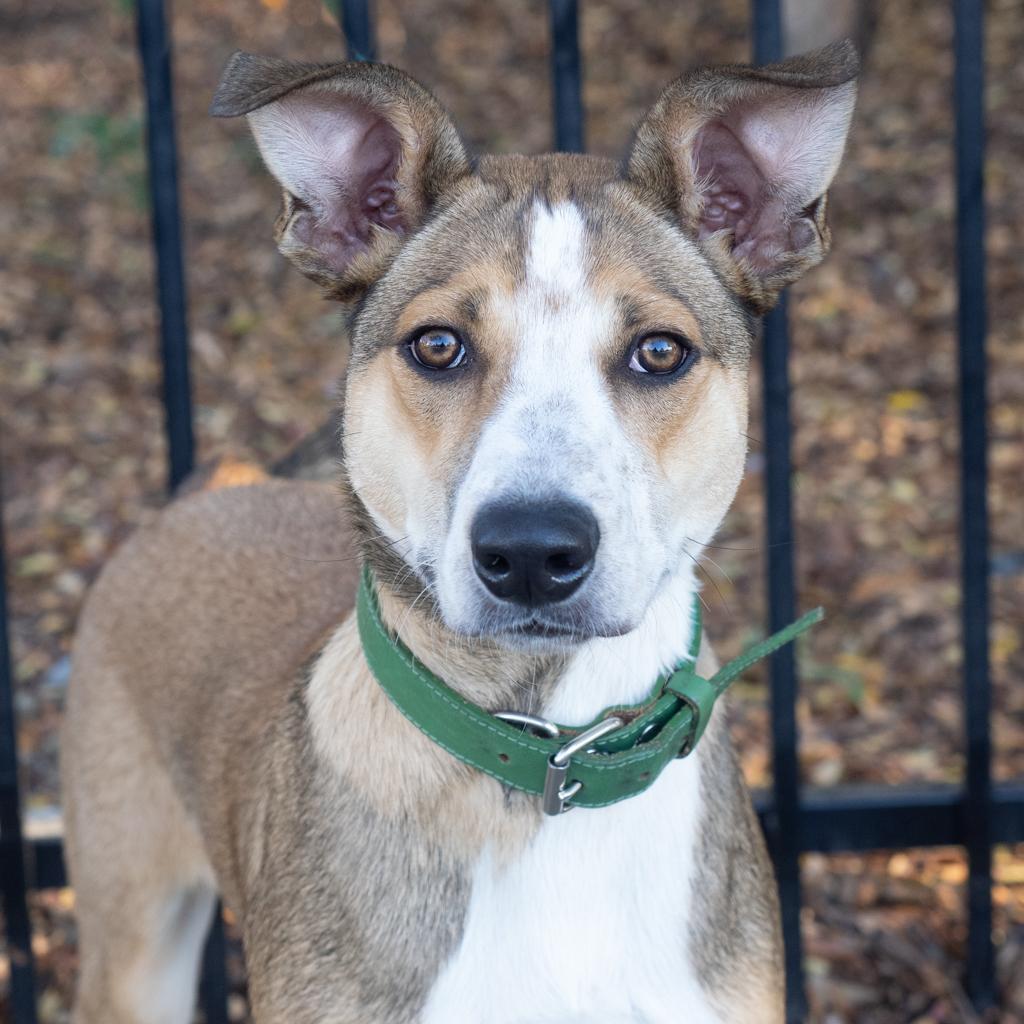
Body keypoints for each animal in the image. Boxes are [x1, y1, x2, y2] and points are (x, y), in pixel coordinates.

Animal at [61, 39, 856, 1024]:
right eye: (437, 345)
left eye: (660, 352)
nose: (532, 553)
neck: (549, 764)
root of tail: (216, 487)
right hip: (134, 945)